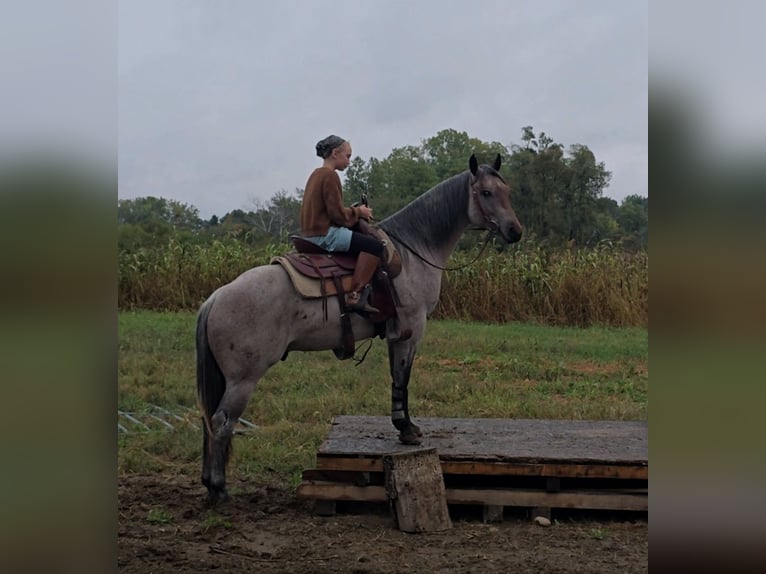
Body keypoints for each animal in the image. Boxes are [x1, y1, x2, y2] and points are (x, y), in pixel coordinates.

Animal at [195, 153, 524, 504]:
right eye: (486, 193)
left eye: (507, 190)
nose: (515, 231)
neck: (413, 251)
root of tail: (215, 298)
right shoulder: (411, 329)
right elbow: (402, 380)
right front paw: (407, 429)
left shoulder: (397, 334)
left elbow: (396, 378)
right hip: (243, 379)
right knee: (221, 422)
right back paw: (218, 488)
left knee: (208, 420)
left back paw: (208, 482)